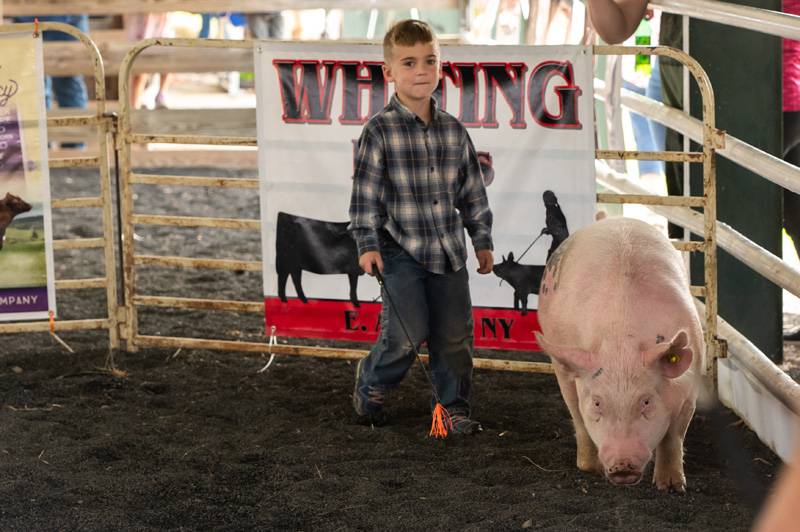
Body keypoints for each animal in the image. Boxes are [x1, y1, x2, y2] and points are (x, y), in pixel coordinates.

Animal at [536, 218, 704, 492]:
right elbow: (580, 416)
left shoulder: (690, 388)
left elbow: (674, 437)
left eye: (646, 401)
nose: (622, 467)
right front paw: (592, 469)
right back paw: (587, 465)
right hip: (561, 365)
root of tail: (615, 220)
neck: (622, 345)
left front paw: (672, 487)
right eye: (597, 402)